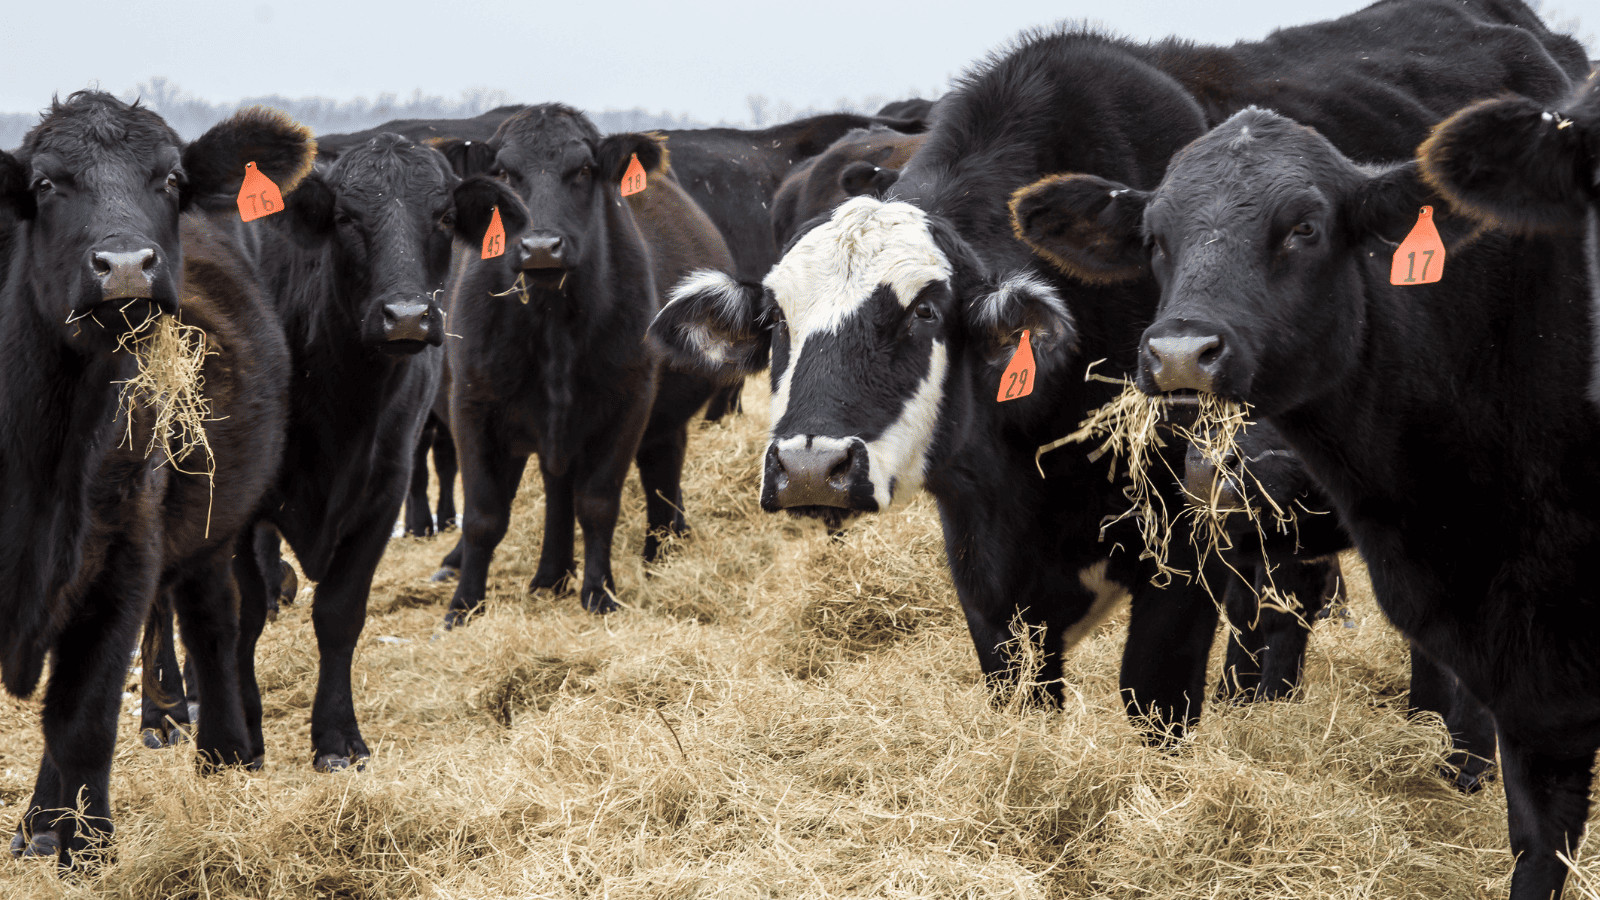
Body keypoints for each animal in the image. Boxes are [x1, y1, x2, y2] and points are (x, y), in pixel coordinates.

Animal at [0, 92, 307, 865]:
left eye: (170, 179)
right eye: (45, 184)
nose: (127, 267)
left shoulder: (124, 555)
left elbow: (82, 716)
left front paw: (89, 850)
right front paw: (58, 833)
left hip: (210, 533)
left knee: (214, 624)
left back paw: (226, 755)